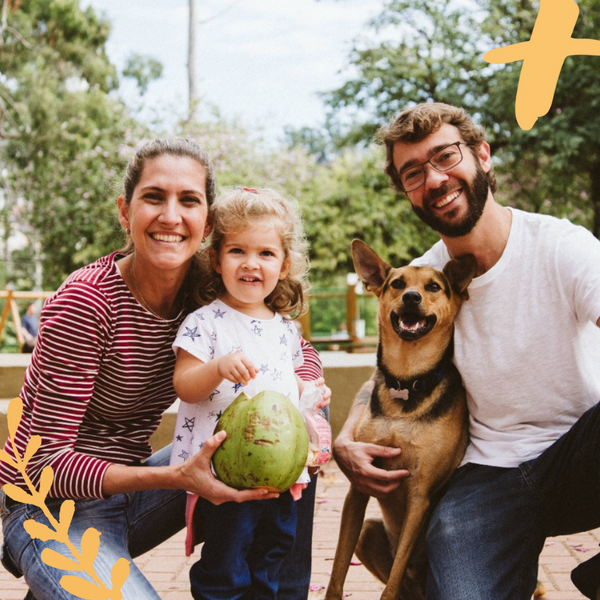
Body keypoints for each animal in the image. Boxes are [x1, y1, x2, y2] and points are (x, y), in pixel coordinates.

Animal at [326, 239, 476, 600]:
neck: (408, 381)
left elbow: (390, 586)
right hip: (368, 532)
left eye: (433, 287)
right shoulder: (359, 487)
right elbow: (337, 572)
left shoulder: (420, 496)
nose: (411, 297)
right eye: (397, 283)